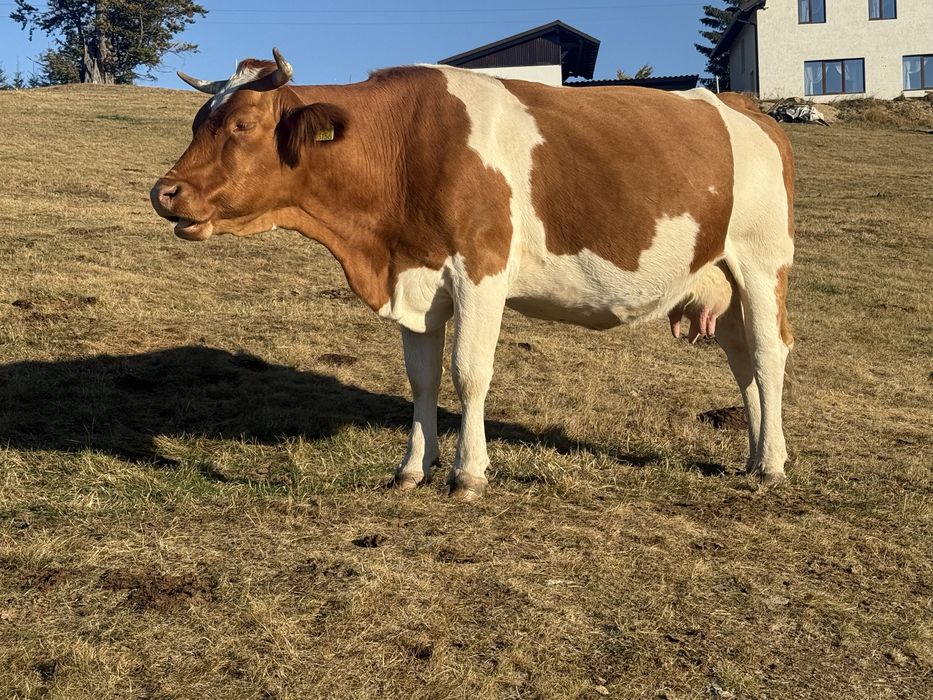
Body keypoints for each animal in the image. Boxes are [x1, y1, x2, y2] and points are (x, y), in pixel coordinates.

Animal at [151, 49, 795, 500]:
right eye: (198, 122)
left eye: (242, 125)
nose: (165, 192)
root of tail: (742, 106)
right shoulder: (415, 274)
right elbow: (422, 379)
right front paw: (412, 468)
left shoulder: (480, 270)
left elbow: (468, 373)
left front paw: (468, 472)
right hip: (721, 277)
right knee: (743, 362)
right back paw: (753, 453)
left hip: (762, 263)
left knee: (769, 353)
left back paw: (771, 464)